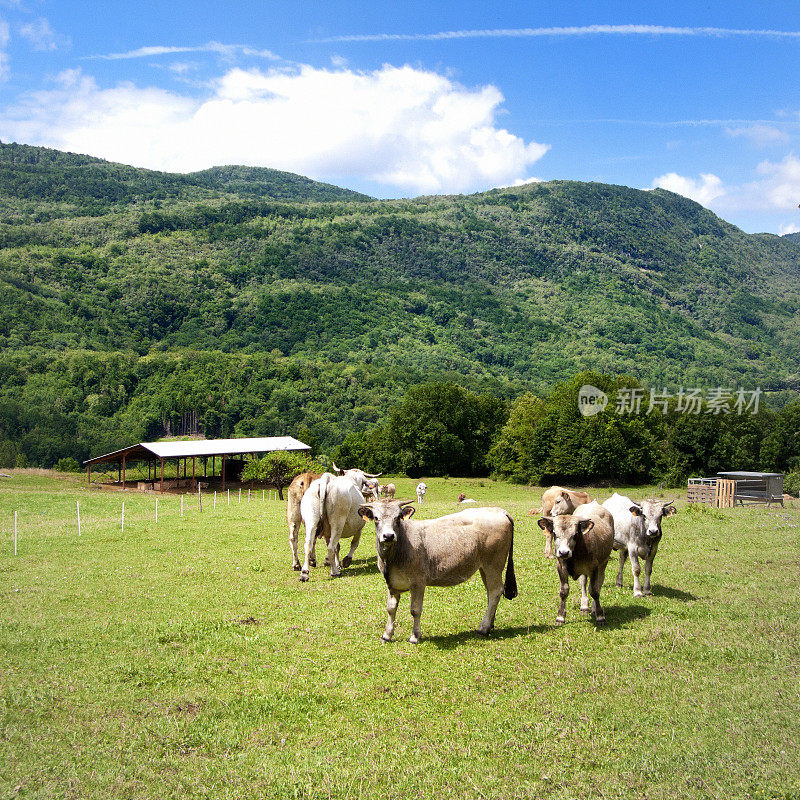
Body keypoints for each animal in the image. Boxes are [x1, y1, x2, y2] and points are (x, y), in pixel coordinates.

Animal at [358, 500, 520, 644]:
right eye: (376, 518)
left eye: (397, 517)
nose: (388, 536)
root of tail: (499, 511)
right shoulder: (391, 584)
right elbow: (391, 609)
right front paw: (387, 634)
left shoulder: (418, 582)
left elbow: (415, 610)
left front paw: (415, 636)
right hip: (485, 568)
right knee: (491, 592)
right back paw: (490, 624)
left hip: (493, 565)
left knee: (495, 591)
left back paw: (484, 628)